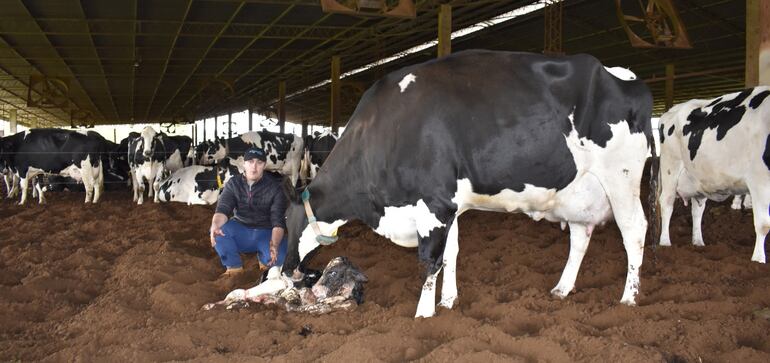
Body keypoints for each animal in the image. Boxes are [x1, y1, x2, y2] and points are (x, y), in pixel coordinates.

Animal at [204, 258, 366, 314]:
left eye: (333, 273)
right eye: (328, 271)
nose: (316, 289)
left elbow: (350, 304)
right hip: (268, 283)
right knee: (238, 293)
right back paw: (208, 306)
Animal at [282, 50, 656, 318]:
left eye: (286, 221)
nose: (285, 271)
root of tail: (624, 75)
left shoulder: (433, 205)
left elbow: (430, 261)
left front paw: (423, 314)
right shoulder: (448, 208)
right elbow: (452, 253)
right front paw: (448, 301)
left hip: (621, 178)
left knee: (634, 230)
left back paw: (628, 299)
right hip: (580, 192)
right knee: (580, 236)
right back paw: (562, 289)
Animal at [656, 88, 768, 264]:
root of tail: (672, 110)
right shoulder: (760, 178)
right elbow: (763, 224)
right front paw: (758, 260)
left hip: (698, 178)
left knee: (697, 209)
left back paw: (698, 242)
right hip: (670, 166)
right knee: (667, 202)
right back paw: (665, 243)